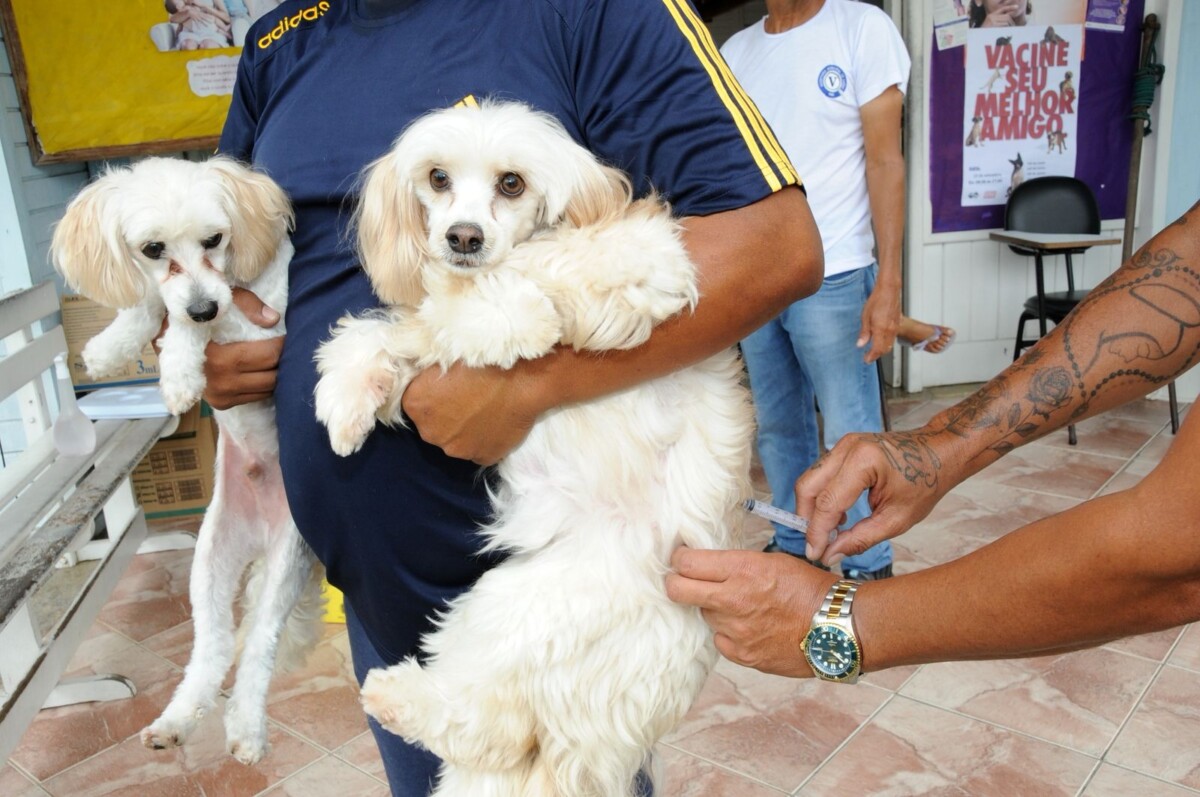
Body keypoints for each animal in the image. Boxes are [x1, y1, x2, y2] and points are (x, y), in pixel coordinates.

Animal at [51, 157, 324, 768]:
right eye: (152, 249)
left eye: (214, 240)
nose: (204, 305)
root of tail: (258, 532)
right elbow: (153, 303)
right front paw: (110, 345)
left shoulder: (265, 331)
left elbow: (184, 324)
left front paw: (178, 370)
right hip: (209, 565)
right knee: (213, 646)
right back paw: (175, 720)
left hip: (283, 564)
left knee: (257, 648)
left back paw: (246, 728)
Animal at [314, 102, 753, 792]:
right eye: (437, 178)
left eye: (512, 183)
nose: (463, 238)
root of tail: (591, 747)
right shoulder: (426, 328)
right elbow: (396, 333)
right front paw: (350, 397)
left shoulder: (644, 262)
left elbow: (530, 276)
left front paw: (508, 312)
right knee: (492, 733)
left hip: (520, 613)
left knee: (484, 724)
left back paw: (395, 696)